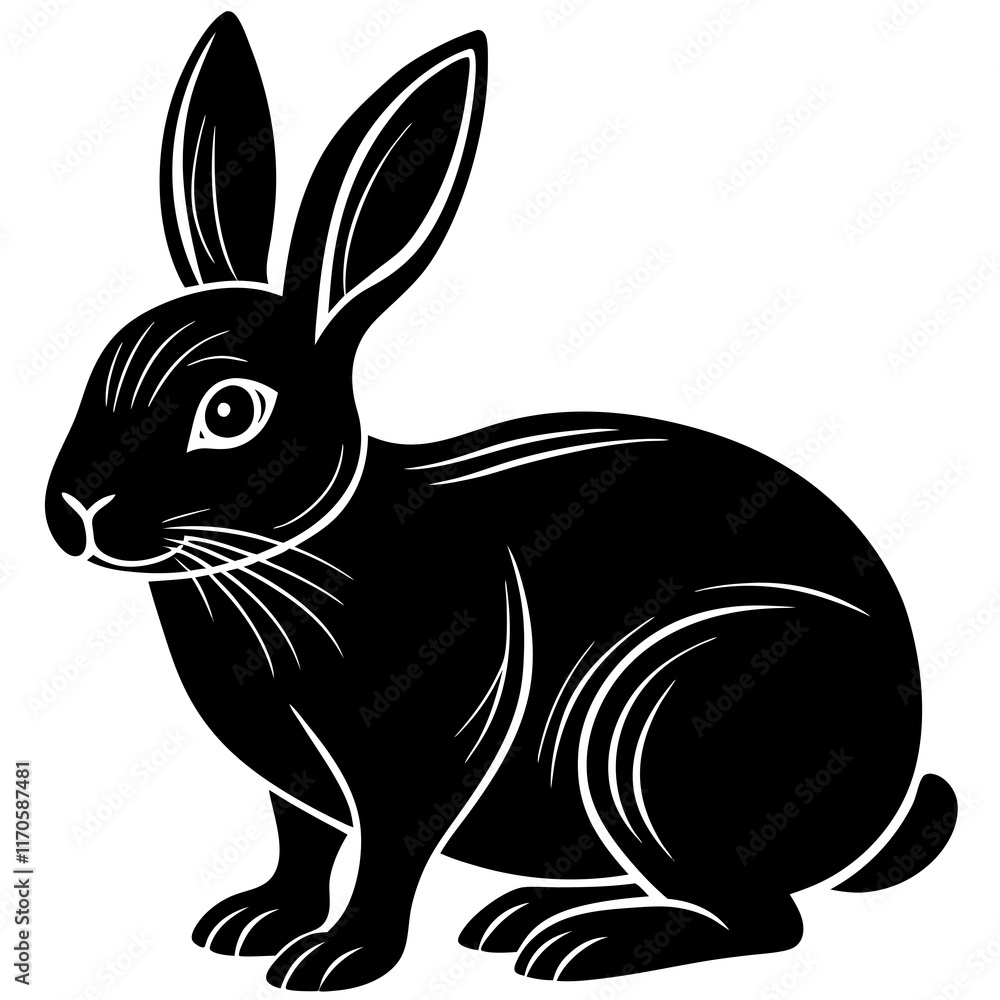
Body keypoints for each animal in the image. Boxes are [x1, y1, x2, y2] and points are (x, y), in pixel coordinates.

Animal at [46, 12, 958, 992]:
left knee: (761, 918)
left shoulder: (416, 765)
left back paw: (577, 946)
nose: (74, 515)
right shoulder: (294, 785)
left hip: (661, 719)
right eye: (103, 365)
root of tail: (890, 794)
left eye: (229, 413)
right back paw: (524, 917)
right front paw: (251, 923)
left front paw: (333, 960)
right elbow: (302, 846)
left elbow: (389, 857)